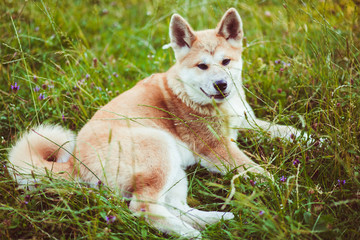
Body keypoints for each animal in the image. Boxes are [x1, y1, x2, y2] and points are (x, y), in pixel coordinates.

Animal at [7, 8, 306, 239]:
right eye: (202, 66)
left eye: (226, 61)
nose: (221, 85)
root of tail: (76, 162)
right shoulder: (218, 149)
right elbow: (260, 172)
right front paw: (286, 190)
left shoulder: (245, 121)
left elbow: (278, 130)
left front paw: (307, 138)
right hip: (159, 149)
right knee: (143, 208)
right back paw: (191, 234)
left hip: (175, 171)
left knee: (174, 207)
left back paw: (216, 220)